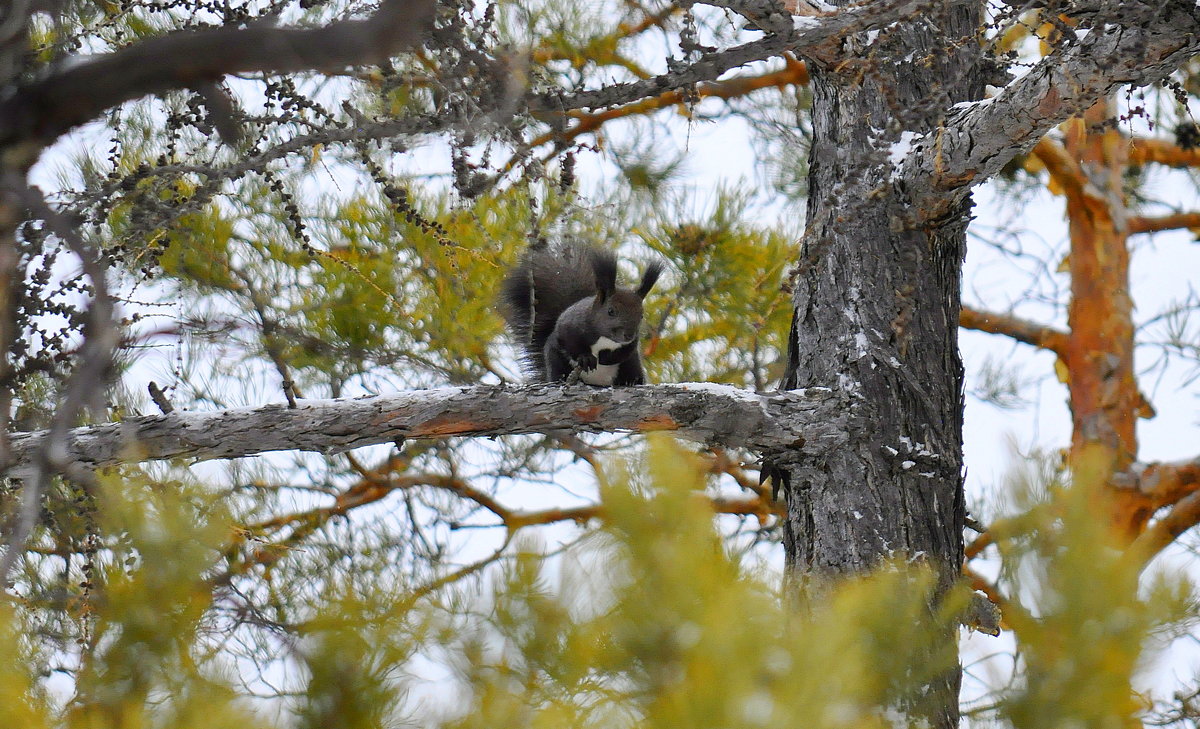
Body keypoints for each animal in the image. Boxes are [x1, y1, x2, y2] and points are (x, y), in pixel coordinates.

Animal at [499, 241, 667, 388]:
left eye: (641, 315)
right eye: (611, 311)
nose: (628, 335)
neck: (605, 338)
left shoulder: (632, 343)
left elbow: (626, 351)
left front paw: (607, 358)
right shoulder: (569, 326)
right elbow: (572, 345)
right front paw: (586, 358)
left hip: (632, 364)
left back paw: (631, 381)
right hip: (555, 358)